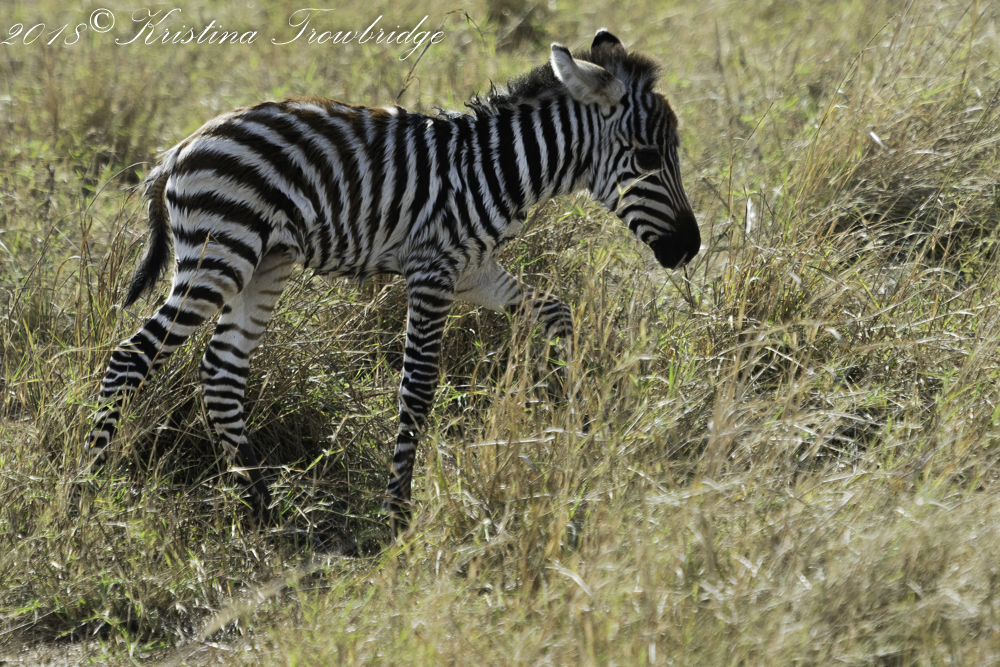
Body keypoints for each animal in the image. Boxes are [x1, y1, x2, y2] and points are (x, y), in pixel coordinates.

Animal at [79, 29, 701, 531]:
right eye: (648, 156)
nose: (690, 249)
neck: (501, 169)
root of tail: (183, 147)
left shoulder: (473, 270)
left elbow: (556, 311)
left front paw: (580, 415)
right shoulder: (432, 271)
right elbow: (418, 387)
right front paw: (399, 510)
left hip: (264, 264)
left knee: (222, 373)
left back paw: (259, 501)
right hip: (220, 254)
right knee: (131, 357)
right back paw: (92, 485)